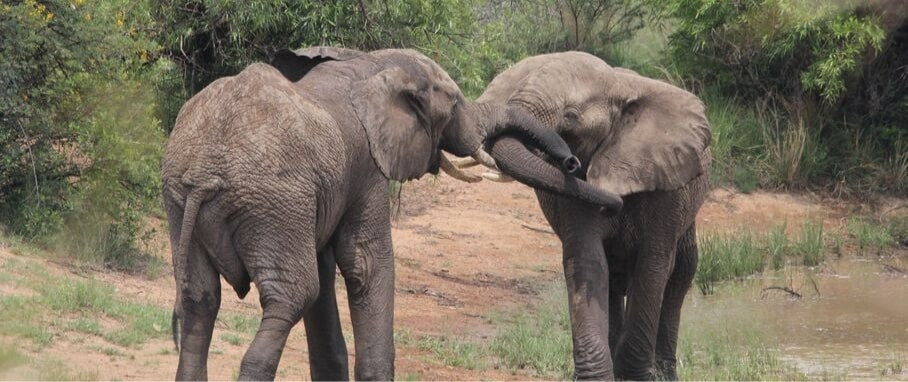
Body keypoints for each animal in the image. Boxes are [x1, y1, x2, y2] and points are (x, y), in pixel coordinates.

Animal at [161, 46, 624, 380]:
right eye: (454, 105)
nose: (573, 164)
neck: (371, 63)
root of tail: (205, 172)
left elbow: (330, 267)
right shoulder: (367, 165)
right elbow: (365, 265)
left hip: (183, 199)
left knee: (200, 299)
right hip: (270, 200)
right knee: (291, 295)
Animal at [454, 51, 708, 380]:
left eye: (571, 116)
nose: (569, 162)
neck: (618, 85)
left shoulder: (665, 188)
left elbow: (652, 266)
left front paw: (636, 377)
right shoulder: (572, 190)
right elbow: (588, 262)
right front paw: (599, 377)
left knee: (682, 272)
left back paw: (666, 373)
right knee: (613, 277)